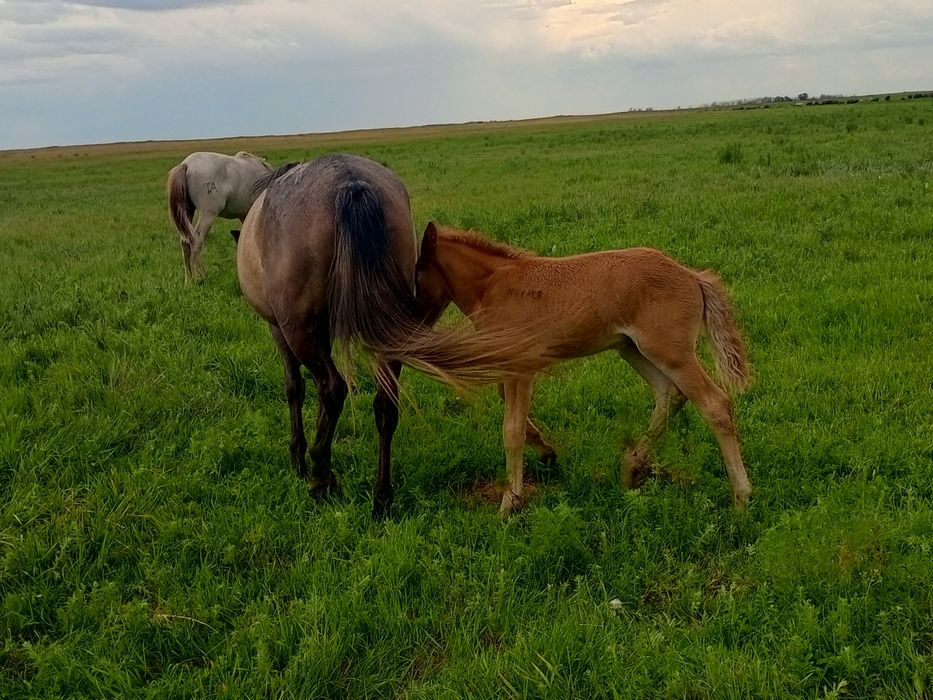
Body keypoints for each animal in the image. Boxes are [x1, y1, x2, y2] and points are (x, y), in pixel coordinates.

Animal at [166, 151, 273, 282]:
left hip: (187, 213)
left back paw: (189, 280)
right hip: (208, 214)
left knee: (185, 242)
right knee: (196, 242)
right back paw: (201, 277)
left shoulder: (244, 215)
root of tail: (186, 164)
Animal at [236, 154, 547, 519]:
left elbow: (294, 388)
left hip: (300, 329)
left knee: (333, 388)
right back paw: (381, 497)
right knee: (385, 405)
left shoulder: (279, 330)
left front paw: (298, 455)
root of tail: (350, 183)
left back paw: (320, 477)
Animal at [415, 222, 753, 516]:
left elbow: (511, 430)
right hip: (632, 348)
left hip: (671, 352)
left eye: (417, 274)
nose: (417, 321)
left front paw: (509, 504)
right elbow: (512, 412)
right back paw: (631, 468)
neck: (493, 286)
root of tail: (693, 276)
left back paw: (741, 497)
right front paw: (546, 451)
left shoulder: (521, 367)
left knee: (713, 404)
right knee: (669, 393)